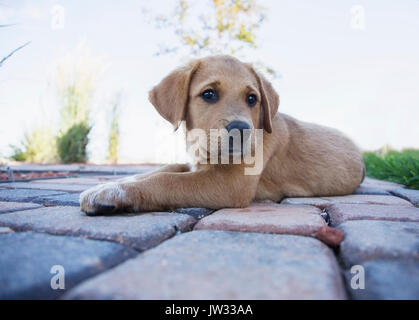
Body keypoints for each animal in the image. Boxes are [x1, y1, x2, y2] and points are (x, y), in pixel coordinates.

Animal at [79, 55, 364, 215]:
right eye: (209, 94)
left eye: (252, 99)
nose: (241, 129)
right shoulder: (195, 163)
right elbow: (164, 169)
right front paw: (113, 183)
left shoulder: (230, 184)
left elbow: (168, 182)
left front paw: (113, 193)